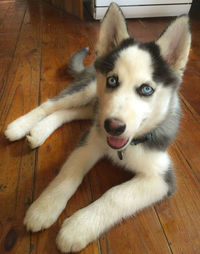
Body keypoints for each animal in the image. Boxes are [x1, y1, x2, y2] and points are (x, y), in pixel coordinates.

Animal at [4, 2, 191, 253]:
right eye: (112, 80)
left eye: (146, 90)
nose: (114, 127)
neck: (127, 146)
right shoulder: (92, 141)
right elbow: (68, 173)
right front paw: (44, 207)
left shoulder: (161, 178)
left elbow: (115, 195)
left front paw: (78, 227)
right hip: (90, 92)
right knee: (51, 104)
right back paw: (19, 126)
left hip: (95, 107)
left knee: (70, 113)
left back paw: (39, 131)